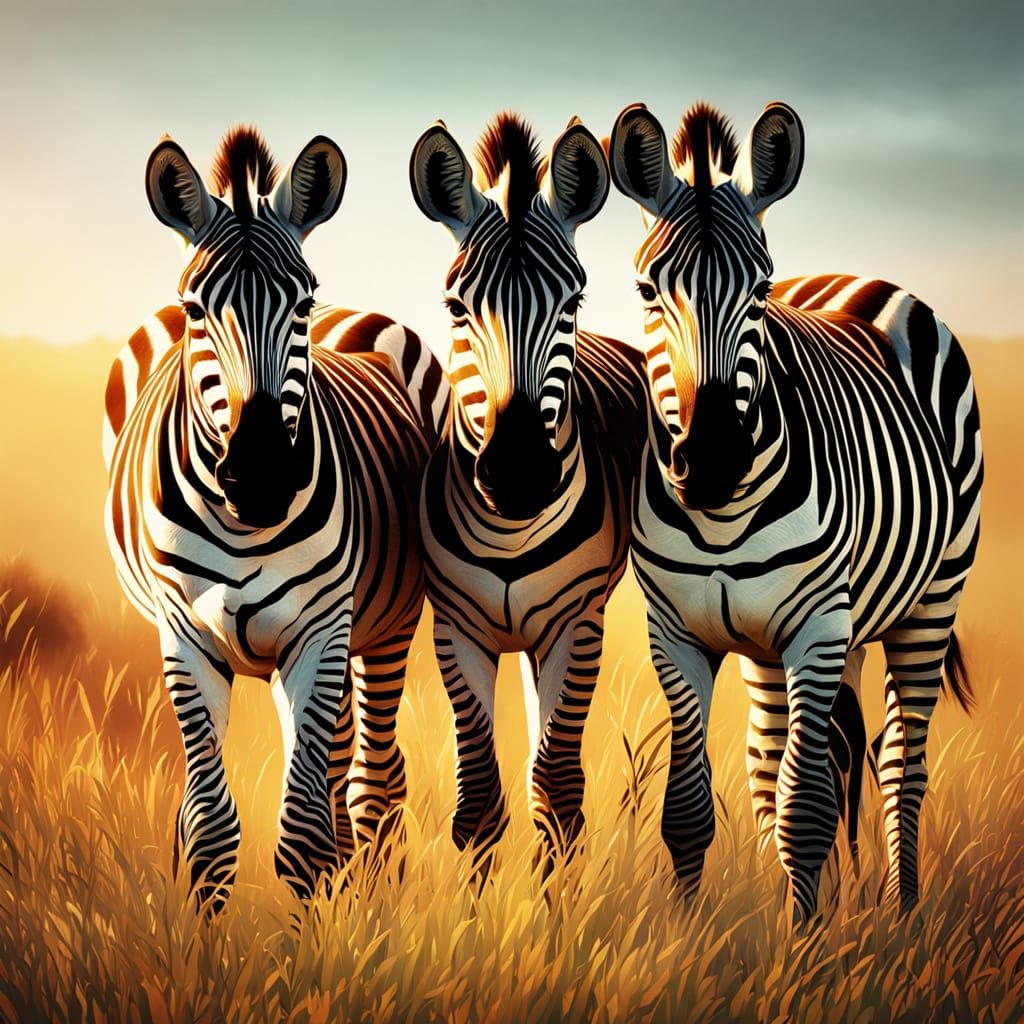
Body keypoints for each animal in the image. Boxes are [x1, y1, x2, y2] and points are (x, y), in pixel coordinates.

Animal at [104, 126, 446, 909]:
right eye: (196, 310)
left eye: (301, 303)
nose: (259, 475)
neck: (244, 526)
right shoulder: (185, 638)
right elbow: (209, 830)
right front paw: (196, 940)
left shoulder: (318, 632)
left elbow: (302, 835)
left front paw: (319, 938)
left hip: (381, 627)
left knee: (371, 782)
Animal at [408, 112, 648, 866]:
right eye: (456, 306)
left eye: (572, 301)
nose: (516, 472)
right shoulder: (457, 627)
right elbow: (480, 801)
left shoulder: (577, 623)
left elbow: (558, 791)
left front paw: (557, 901)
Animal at [608, 100, 982, 922]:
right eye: (648, 290)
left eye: (759, 287)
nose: (712, 461)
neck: (719, 522)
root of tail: (856, 280)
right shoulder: (676, 635)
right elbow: (691, 809)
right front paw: (696, 936)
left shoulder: (816, 627)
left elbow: (803, 807)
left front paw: (801, 940)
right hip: (781, 646)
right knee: (787, 756)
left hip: (927, 601)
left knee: (899, 761)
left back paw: (904, 914)